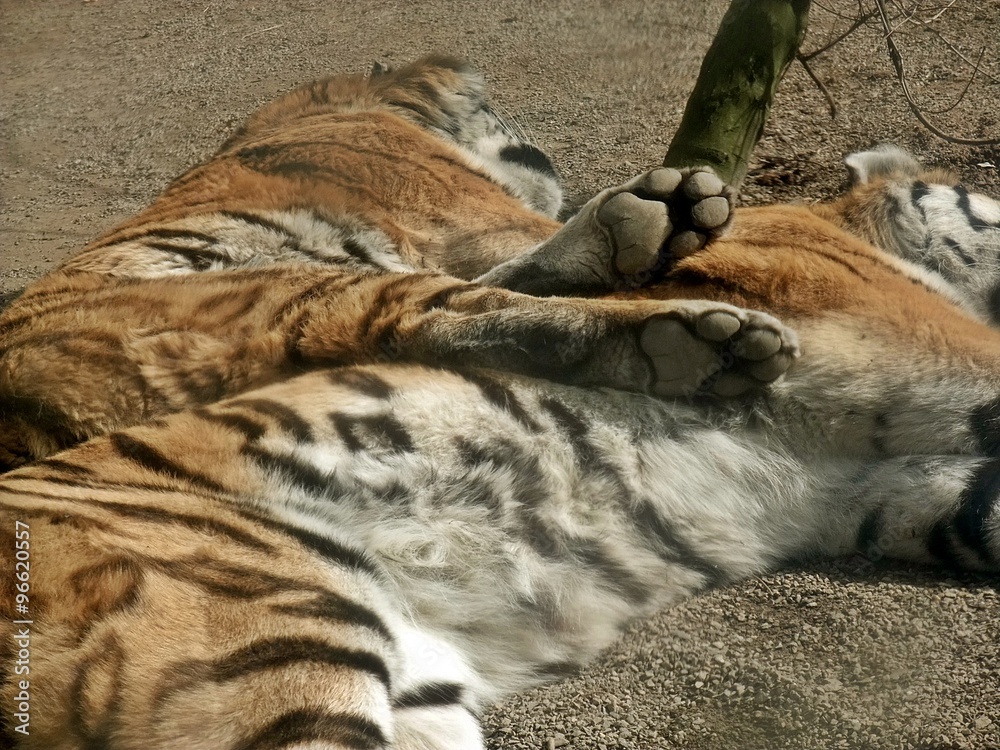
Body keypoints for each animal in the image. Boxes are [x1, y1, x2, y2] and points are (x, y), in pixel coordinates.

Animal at [0, 55, 791, 473]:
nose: (545, 148)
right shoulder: (470, 214)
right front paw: (668, 211)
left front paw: (659, 220)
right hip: (278, 293)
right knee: (462, 318)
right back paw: (696, 340)